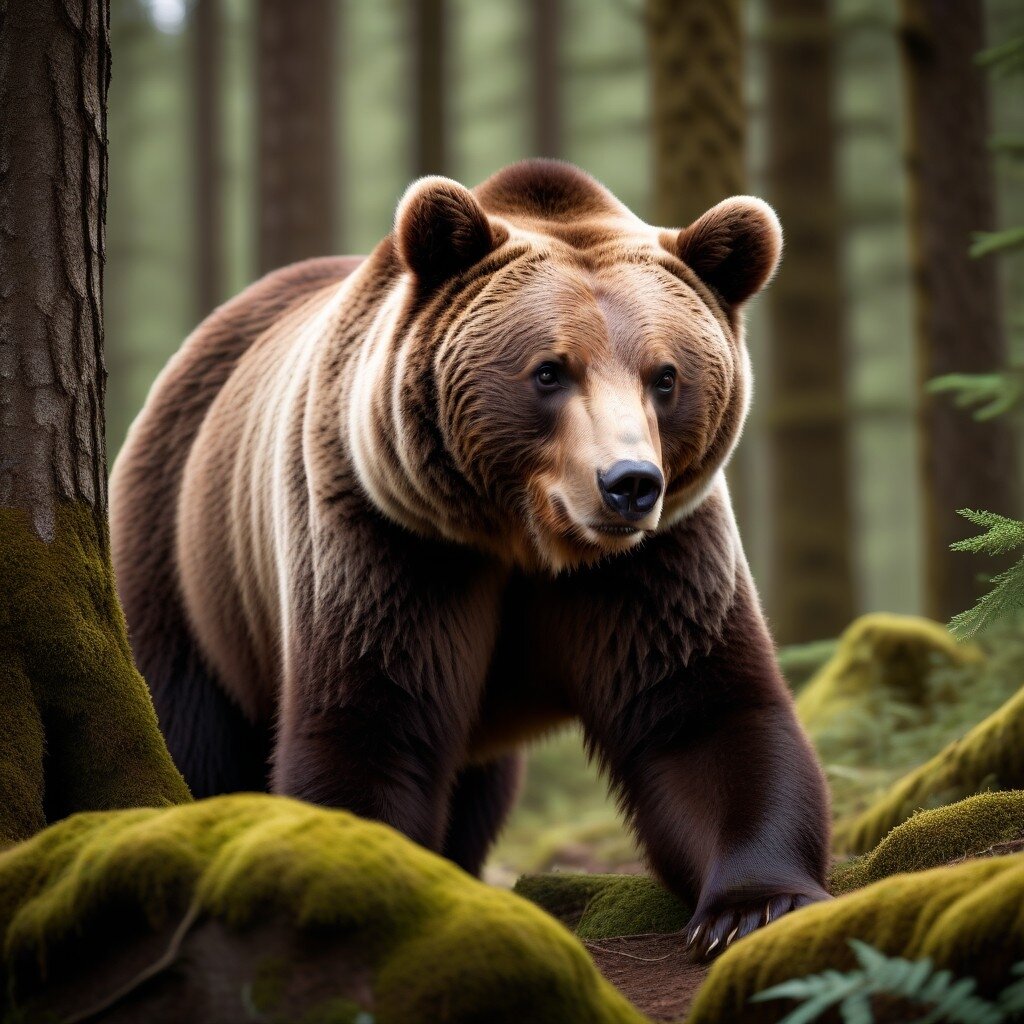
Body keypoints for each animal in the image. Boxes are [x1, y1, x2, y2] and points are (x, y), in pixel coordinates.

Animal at [112, 157, 831, 950]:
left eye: (665, 375)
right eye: (550, 370)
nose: (629, 483)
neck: (527, 542)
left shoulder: (660, 557)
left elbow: (700, 710)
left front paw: (752, 905)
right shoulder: (393, 537)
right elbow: (374, 718)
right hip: (182, 553)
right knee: (187, 724)